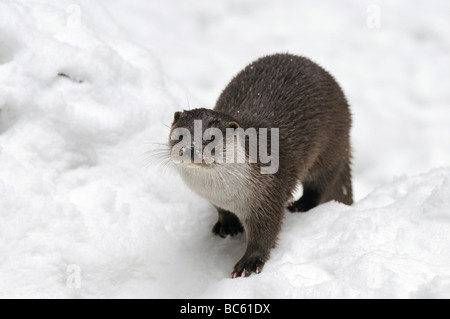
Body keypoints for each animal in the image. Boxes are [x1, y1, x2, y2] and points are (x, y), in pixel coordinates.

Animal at [167, 53, 354, 278]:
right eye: (180, 135)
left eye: (211, 137)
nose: (189, 149)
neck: (226, 194)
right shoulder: (216, 198)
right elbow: (221, 211)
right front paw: (227, 225)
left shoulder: (268, 192)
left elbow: (266, 231)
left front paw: (249, 262)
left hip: (331, 146)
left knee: (322, 183)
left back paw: (300, 205)